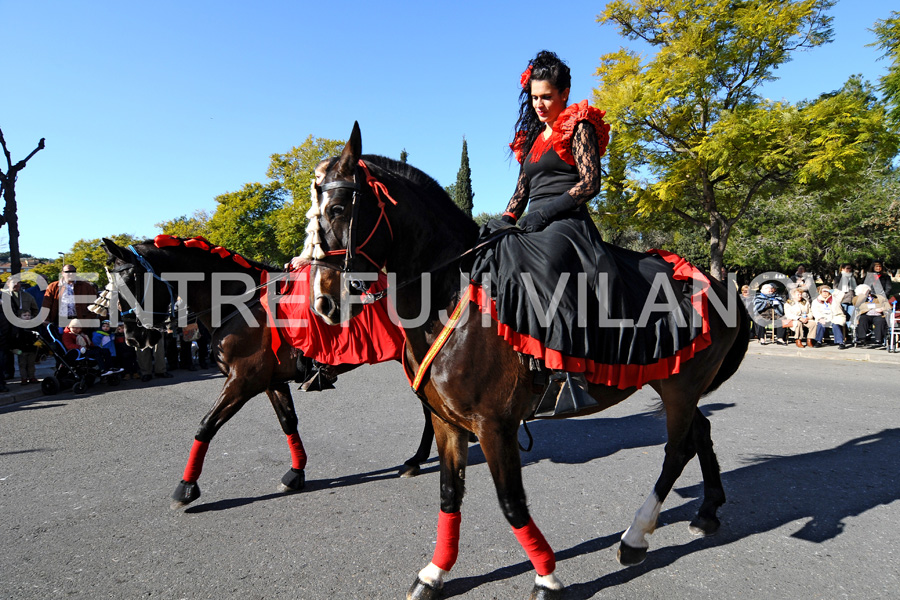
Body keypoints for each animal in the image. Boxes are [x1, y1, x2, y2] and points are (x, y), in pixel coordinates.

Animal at [98, 237, 436, 508]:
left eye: (132, 279)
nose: (133, 337)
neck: (237, 304)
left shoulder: (243, 381)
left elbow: (206, 426)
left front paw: (187, 487)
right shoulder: (271, 381)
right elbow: (288, 422)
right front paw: (296, 473)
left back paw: (416, 460)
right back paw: (417, 459)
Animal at [306, 123, 748, 600]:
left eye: (337, 208)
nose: (324, 303)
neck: (449, 294)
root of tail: (717, 283)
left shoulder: (494, 425)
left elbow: (512, 504)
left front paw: (546, 576)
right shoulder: (447, 423)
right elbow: (449, 494)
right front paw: (435, 572)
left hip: (680, 388)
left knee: (677, 449)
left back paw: (635, 537)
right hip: (671, 383)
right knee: (699, 433)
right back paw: (707, 511)